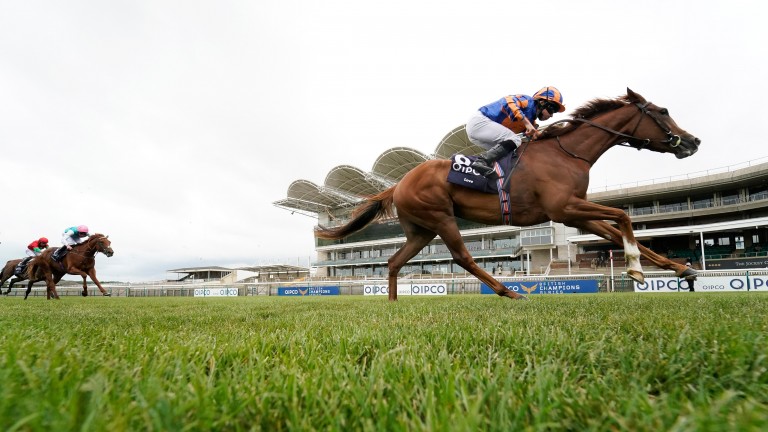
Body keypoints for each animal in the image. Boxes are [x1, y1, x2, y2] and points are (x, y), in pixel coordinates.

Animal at [314, 88, 704, 300]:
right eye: (663, 111)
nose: (693, 141)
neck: (567, 152)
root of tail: (399, 182)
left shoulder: (573, 210)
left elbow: (619, 230)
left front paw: (682, 269)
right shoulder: (565, 208)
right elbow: (623, 217)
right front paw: (636, 270)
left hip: (420, 230)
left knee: (395, 262)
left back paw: (394, 303)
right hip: (440, 217)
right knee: (462, 258)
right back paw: (509, 291)